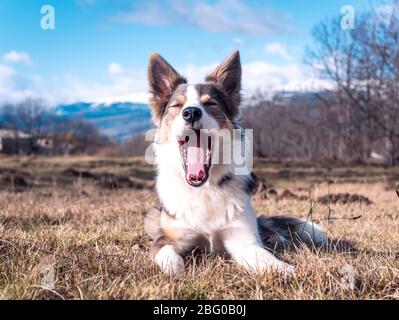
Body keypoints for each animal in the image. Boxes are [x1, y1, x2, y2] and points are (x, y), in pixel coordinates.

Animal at [144, 50, 324, 276]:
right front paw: (175, 270)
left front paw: (286, 270)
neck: (205, 189)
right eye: (177, 106)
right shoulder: (166, 239)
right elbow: (167, 254)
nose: (191, 112)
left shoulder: (244, 241)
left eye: (210, 104)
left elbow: (267, 258)